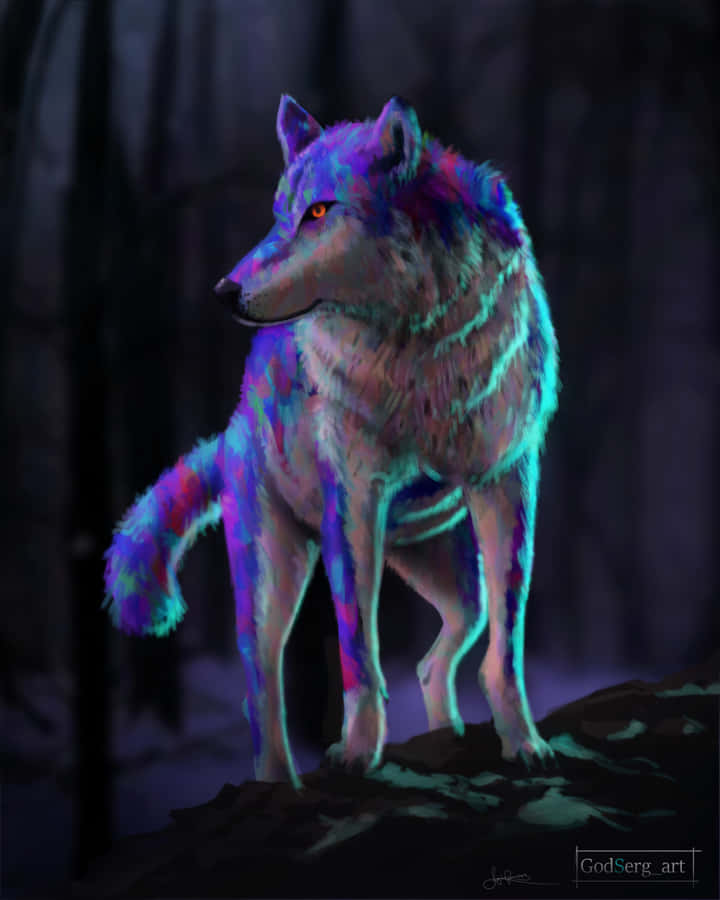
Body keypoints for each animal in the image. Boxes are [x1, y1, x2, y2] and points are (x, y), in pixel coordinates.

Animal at [104, 95, 559, 789]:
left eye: (318, 212)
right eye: (278, 213)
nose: (224, 293)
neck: (419, 354)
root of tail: (231, 430)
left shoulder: (505, 481)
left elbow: (505, 650)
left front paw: (524, 744)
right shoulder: (354, 498)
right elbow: (358, 655)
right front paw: (356, 753)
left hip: (453, 577)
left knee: (442, 651)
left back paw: (447, 733)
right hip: (274, 579)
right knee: (261, 687)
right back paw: (277, 783)